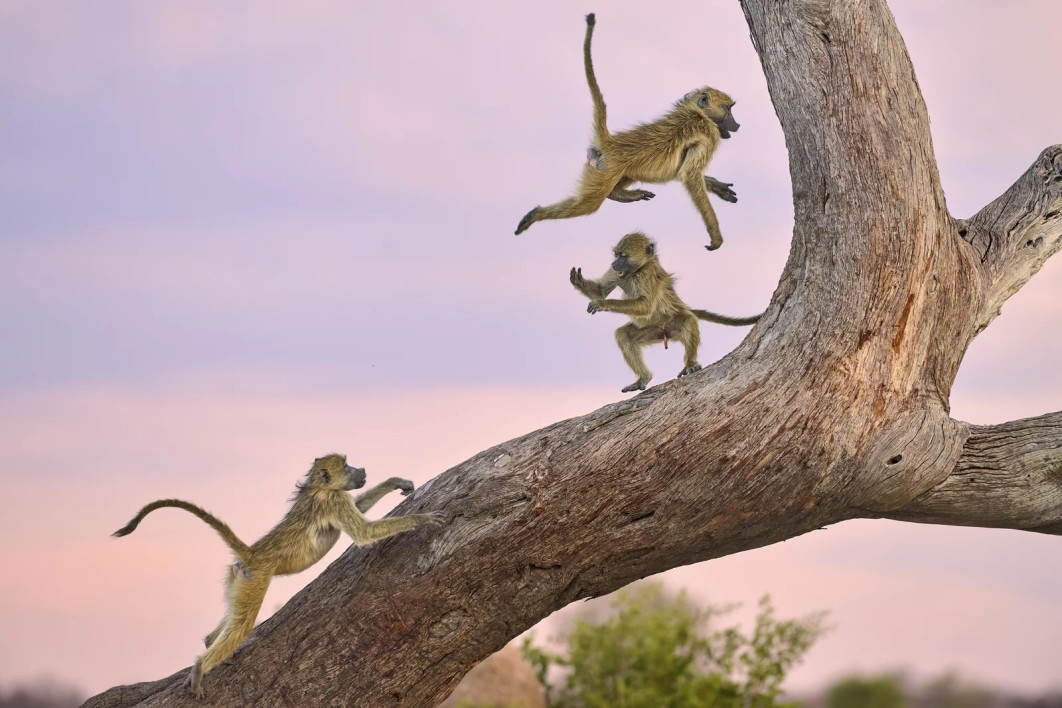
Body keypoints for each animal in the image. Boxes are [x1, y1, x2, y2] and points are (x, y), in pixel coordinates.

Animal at [112, 454, 445, 698]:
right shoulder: (334, 501)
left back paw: (209, 647)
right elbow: (364, 532)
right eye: (347, 466)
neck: (318, 489)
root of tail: (253, 554)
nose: (362, 469)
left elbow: (360, 507)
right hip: (255, 578)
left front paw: (395, 482)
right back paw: (199, 669)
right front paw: (423, 519)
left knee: (232, 620)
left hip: (238, 578)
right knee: (242, 625)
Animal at [515, 13, 741, 251]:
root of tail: (609, 143)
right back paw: (536, 214)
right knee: (587, 205)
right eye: (729, 110)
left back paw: (618, 195)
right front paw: (715, 237)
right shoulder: (709, 135)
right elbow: (689, 176)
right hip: (607, 170)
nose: (737, 125)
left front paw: (717, 186)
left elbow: (682, 173)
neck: (697, 112)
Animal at [571, 232, 760, 392]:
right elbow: (600, 290)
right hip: (653, 330)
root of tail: (665, 330)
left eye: (624, 256)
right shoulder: (616, 273)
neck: (638, 269)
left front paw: (601, 303)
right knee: (623, 335)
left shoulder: (646, 274)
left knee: (688, 321)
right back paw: (643, 378)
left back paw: (690, 363)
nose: (613, 263)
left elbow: (645, 306)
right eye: (616, 255)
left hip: (674, 321)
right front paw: (579, 281)